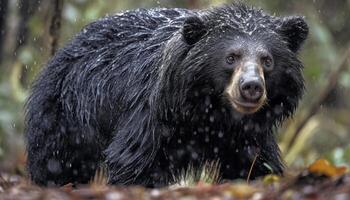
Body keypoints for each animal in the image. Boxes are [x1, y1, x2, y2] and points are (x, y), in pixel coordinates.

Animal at [25, 3, 308, 187]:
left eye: (267, 60)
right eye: (231, 57)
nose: (251, 87)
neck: (210, 113)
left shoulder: (249, 135)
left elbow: (255, 164)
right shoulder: (151, 114)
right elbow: (134, 161)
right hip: (68, 115)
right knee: (57, 160)